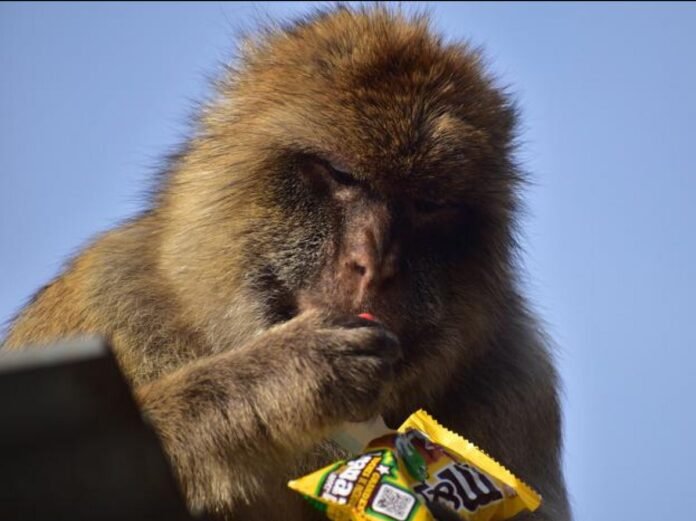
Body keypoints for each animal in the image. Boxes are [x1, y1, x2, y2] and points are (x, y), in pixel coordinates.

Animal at [2, 5, 571, 521]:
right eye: (341, 174)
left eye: (428, 204)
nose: (373, 265)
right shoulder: (109, 297)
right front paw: (281, 374)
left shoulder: (519, 382)